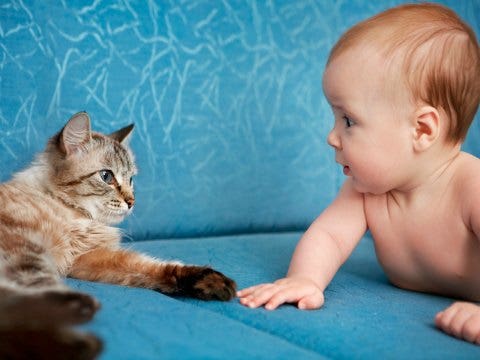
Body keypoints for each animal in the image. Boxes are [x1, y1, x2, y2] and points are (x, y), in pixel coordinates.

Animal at [0, 111, 236, 358]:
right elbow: (40, 282)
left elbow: (151, 267)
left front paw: (211, 283)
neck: (78, 215)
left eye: (131, 179)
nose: (132, 202)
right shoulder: (26, 248)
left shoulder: (86, 259)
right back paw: (77, 334)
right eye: (106, 177)